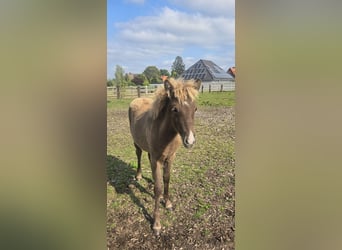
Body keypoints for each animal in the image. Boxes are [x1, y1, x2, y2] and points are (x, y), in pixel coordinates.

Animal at [130, 77, 202, 235]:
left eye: (195, 109)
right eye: (174, 109)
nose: (190, 141)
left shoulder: (170, 157)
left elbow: (166, 179)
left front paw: (168, 203)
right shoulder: (157, 160)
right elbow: (158, 188)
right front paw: (156, 224)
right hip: (137, 143)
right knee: (139, 155)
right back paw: (138, 175)